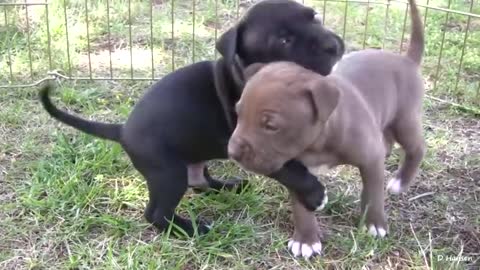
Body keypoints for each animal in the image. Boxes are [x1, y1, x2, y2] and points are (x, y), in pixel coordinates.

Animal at [228, 0, 424, 258]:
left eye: (271, 125)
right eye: (238, 114)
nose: (231, 152)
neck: (318, 142)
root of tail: (406, 60)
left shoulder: (370, 160)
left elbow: (373, 192)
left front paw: (374, 223)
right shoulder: (298, 172)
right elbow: (301, 203)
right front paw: (306, 239)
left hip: (405, 119)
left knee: (416, 148)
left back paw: (401, 181)